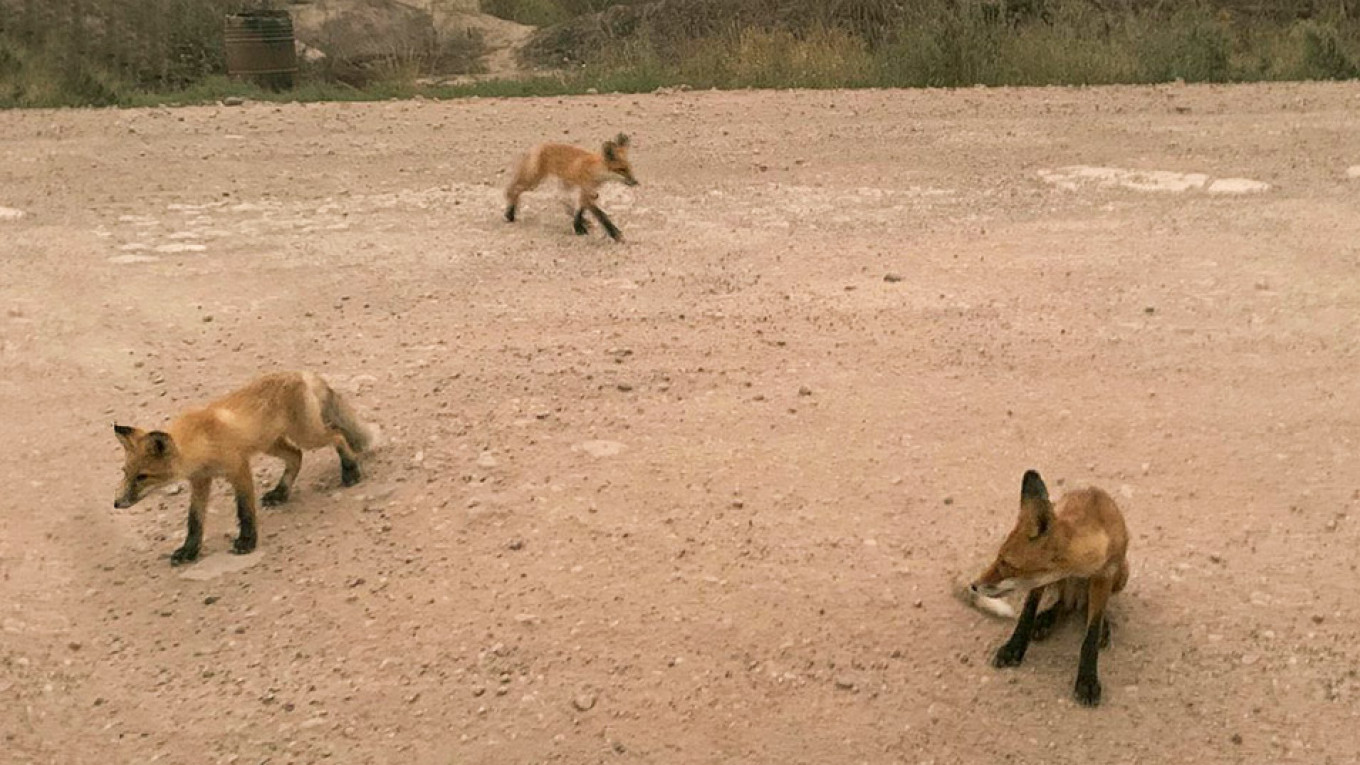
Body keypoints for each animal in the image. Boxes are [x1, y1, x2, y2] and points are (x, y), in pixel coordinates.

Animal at [112, 372, 375, 563]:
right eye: (126, 473)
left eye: (142, 477)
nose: (117, 503)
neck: (202, 441)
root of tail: (302, 373)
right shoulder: (200, 481)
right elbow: (194, 521)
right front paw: (189, 551)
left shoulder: (239, 468)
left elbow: (244, 510)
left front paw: (247, 542)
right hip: (272, 443)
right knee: (296, 457)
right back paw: (280, 493)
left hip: (307, 435)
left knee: (337, 435)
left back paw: (350, 471)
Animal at [508, 132, 639, 240]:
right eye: (621, 169)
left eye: (629, 168)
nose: (636, 182)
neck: (595, 171)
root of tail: (538, 145)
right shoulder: (586, 192)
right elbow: (602, 215)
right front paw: (615, 234)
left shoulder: (589, 193)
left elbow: (579, 210)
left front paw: (578, 226)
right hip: (534, 182)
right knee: (514, 190)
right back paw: (509, 214)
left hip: (565, 183)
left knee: (562, 200)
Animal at [973, 468, 1131, 707]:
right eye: (998, 558)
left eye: (1008, 564)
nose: (973, 585)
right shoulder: (1040, 581)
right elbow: (1027, 614)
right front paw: (1014, 648)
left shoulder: (1105, 574)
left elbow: (1091, 636)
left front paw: (1087, 680)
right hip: (1060, 585)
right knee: (1064, 604)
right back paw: (1046, 620)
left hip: (1123, 574)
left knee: (1084, 607)